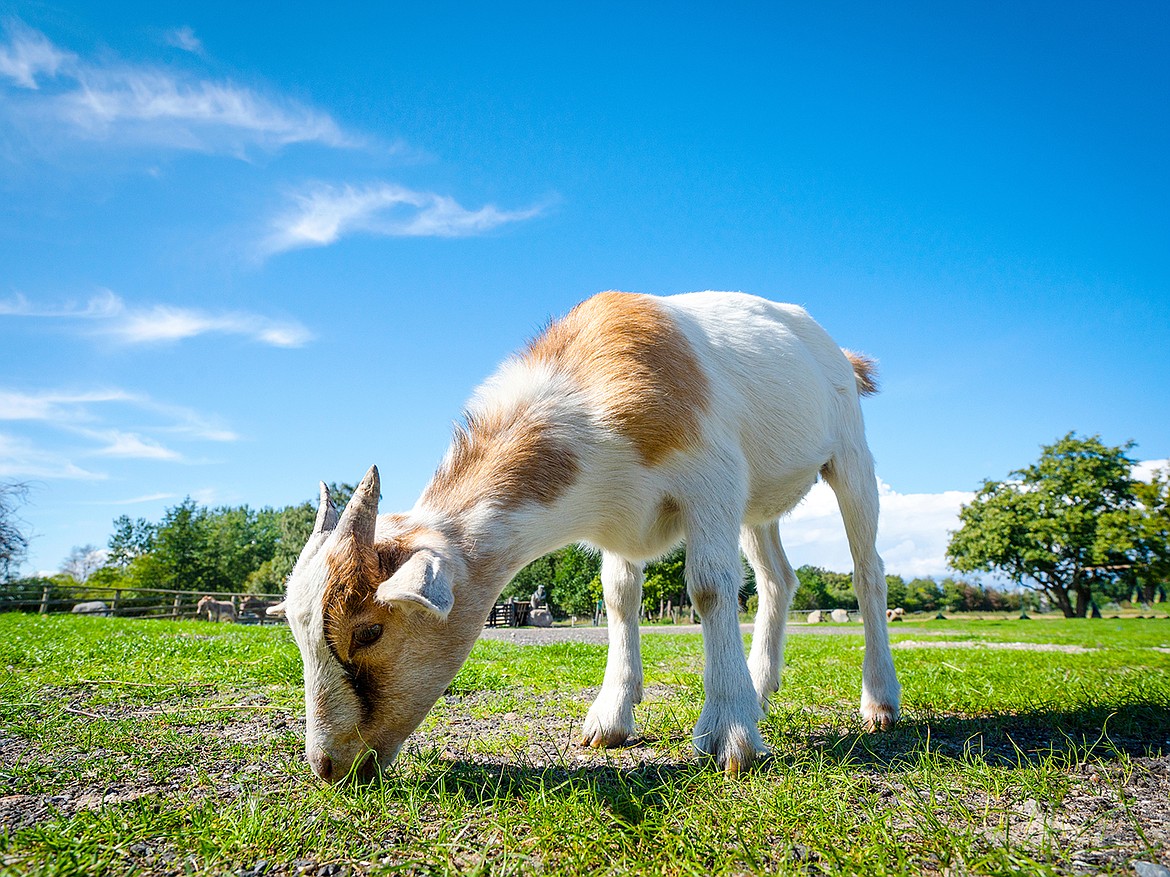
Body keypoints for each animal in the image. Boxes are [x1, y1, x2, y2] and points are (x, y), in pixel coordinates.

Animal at [269, 292, 898, 781]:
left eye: (369, 631)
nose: (328, 767)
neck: (588, 392)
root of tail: (840, 355)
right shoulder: (618, 519)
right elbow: (619, 597)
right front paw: (610, 719)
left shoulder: (712, 480)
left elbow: (709, 588)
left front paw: (728, 733)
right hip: (758, 508)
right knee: (777, 580)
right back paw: (763, 689)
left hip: (851, 456)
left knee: (867, 571)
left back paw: (879, 703)